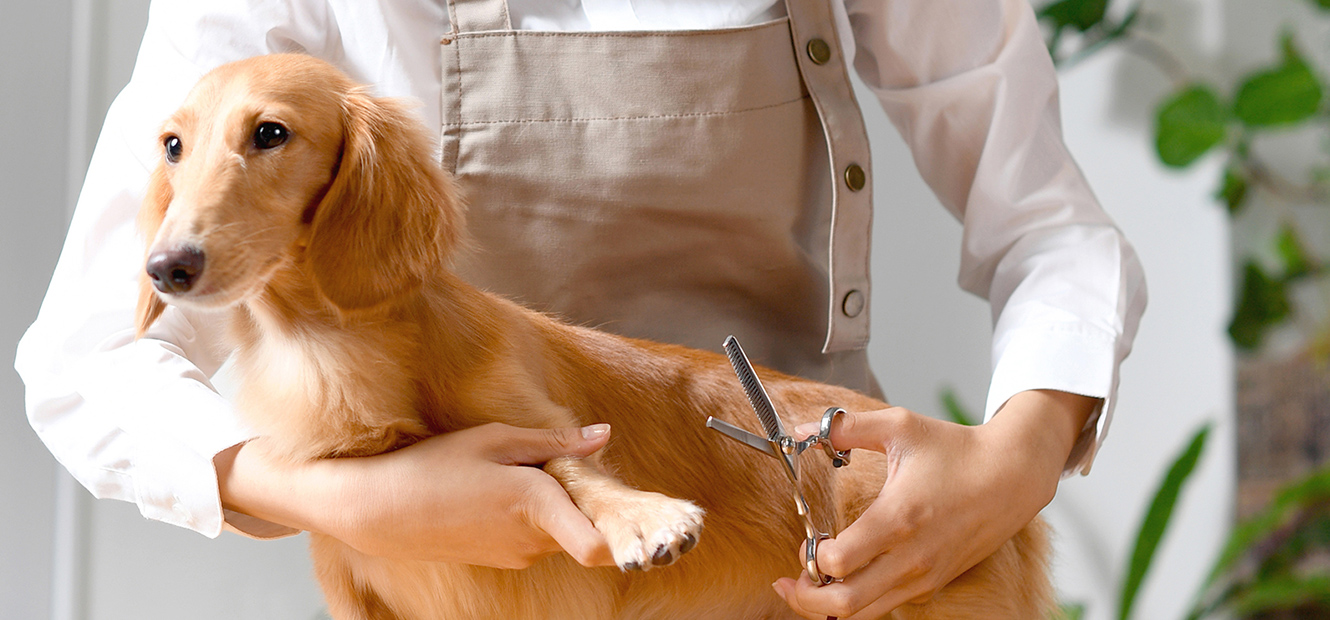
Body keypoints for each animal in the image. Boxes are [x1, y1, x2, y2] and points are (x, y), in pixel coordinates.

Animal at [134, 54, 1048, 620]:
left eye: (271, 133)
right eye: (173, 145)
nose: (166, 268)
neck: (334, 356)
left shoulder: (537, 417)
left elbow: (568, 465)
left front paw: (642, 517)